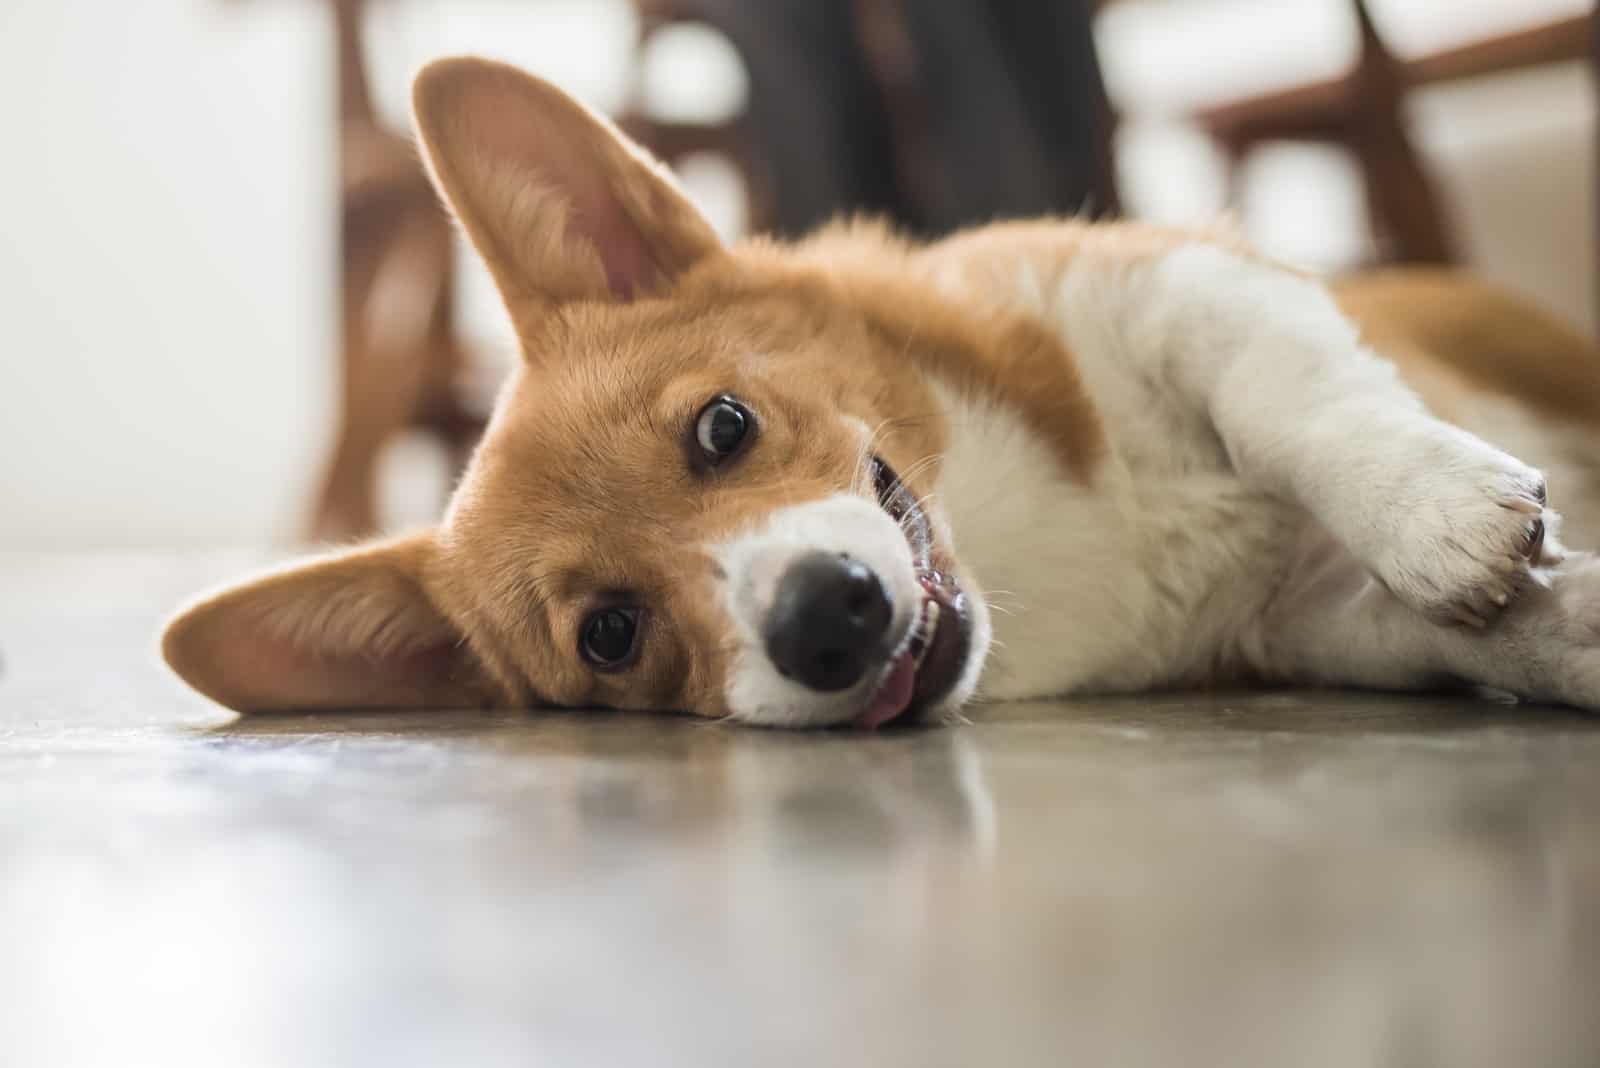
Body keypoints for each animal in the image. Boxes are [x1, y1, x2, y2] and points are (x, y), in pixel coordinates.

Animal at [159, 56, 1600, 725]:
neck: (1038, 544)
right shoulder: (1297, 616)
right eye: (609, 636)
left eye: (722, 426)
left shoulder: (1185, 288)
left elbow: (1300, 412)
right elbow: (1455, 634)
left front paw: (1435, 517)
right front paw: (1564, 625)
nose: (826, 624)